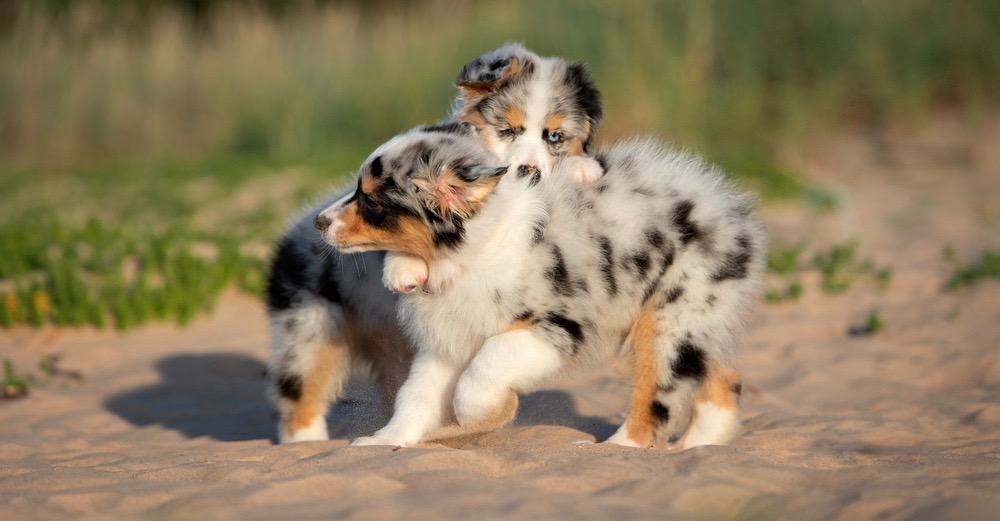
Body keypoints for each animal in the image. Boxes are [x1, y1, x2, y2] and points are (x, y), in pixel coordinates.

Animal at [320, 125, 764, 446]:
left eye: (371, 202)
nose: (319, 222)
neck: (474, 252)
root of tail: (726, 203)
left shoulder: (555, 326)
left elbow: (482, 371)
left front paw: (480, 415)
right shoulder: (448, 339)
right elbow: (415, 395)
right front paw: (386, 440)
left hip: (669, 318)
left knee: (658, 392)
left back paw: (621, 447)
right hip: (690, 323)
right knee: (721, 375)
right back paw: (701, 446)